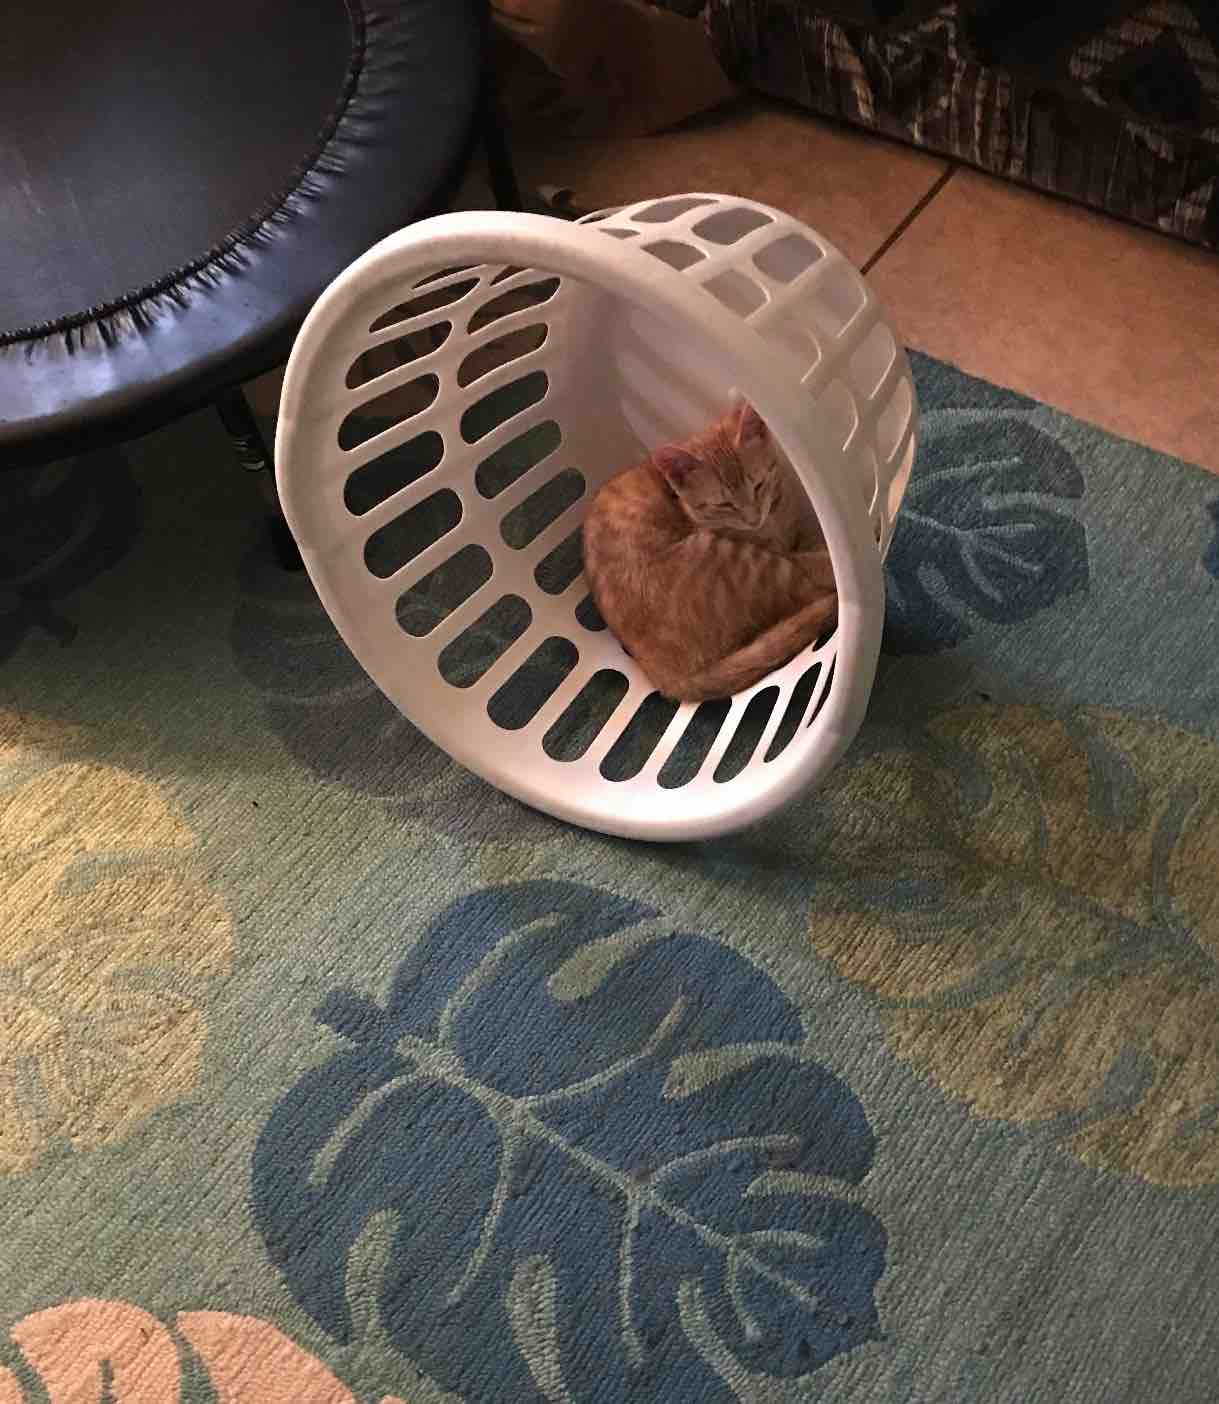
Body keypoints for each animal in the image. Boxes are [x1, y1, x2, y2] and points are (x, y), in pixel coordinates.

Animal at [584, 404, 837, 699]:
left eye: (759, 484)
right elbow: (803, 562)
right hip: (735, 560)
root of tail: (665, 679)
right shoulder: (774, 552)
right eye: (724, 505)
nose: (753, 519)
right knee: (805, 586)